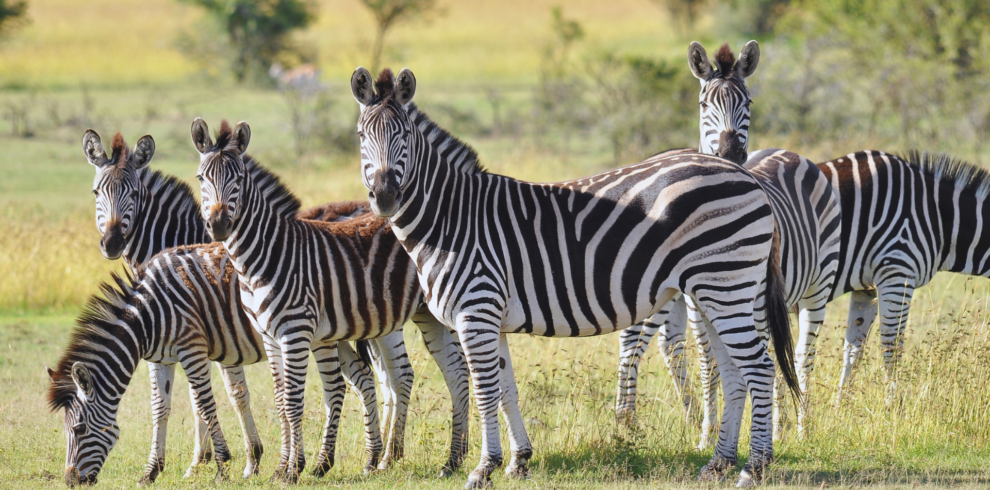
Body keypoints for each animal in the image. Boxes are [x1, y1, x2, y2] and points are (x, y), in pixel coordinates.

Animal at [193, 117, 472, 482]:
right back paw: (451, 459)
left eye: (238, 178)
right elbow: (280, 400)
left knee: (453, 370)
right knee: (453, 370)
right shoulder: (269, 336)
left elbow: (294, 400)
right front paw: (282, 467)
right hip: (425, 314)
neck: (263, 256)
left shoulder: (295, 332)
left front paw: (293, 469)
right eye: (201, 178)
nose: (219, 225)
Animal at [616, 41, 840, 440]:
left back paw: (798, 428)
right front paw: (708, 433)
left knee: (802, 355)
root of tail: (790, 152)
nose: (731, 152)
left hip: (816, 287)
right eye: (704, 103)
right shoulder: (696, 304)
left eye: (747, 102)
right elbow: (710, 364)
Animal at [816, 151, 990, 404]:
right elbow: (892, 348)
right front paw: (892, 408)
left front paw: (839, 407)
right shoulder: (897, 272)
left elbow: (854, 350)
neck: (939, 220)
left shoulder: (866, 288)